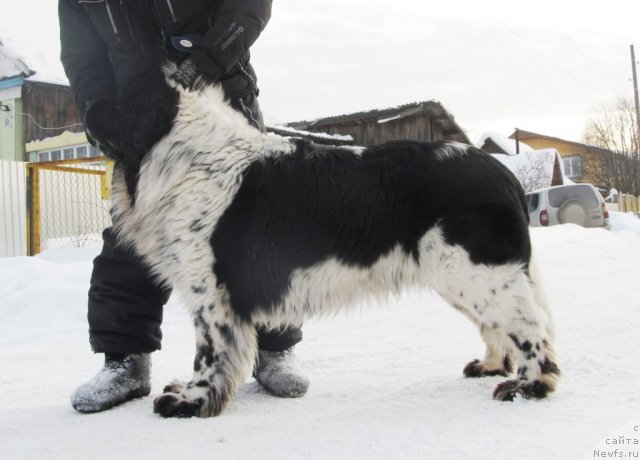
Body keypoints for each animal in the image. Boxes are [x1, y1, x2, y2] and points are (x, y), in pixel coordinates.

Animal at [110, 82, 560, 416]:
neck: (187, 156)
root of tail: (504, 173)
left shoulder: (213, 291)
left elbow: (211, 354)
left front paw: (191, 401)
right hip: (463, 277)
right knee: (501, 328)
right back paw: (491, 366)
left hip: (478, 272)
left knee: (530, 328)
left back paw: (528, 386)